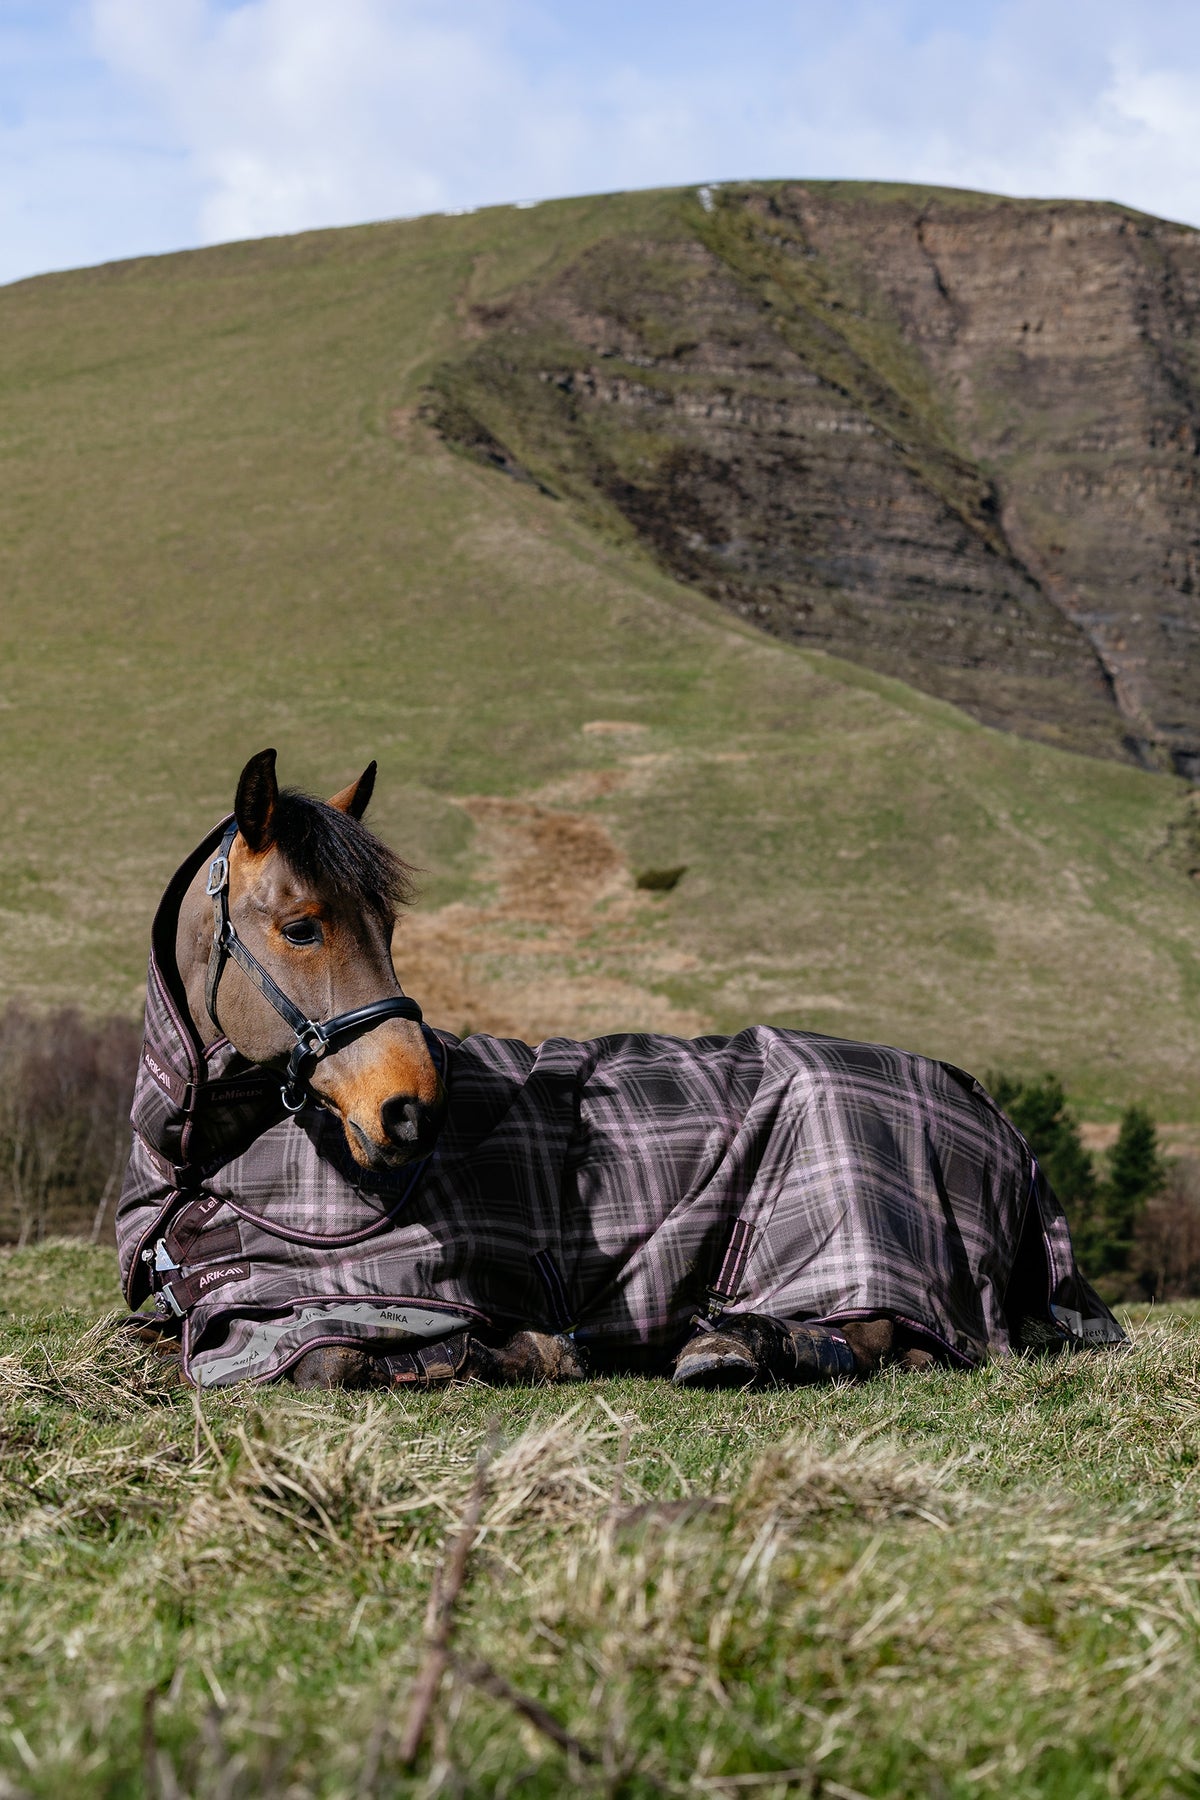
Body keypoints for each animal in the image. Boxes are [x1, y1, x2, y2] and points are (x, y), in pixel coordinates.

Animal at [116, 750, 1123, 1390]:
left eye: (387, 925)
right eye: (301, 927)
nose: (413, 1109)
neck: (196, 1164)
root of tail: (991, 1114)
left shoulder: (354, 1305)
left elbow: (328, 1359)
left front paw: (525, 1352)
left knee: (881, 1332)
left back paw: (740, 1349)